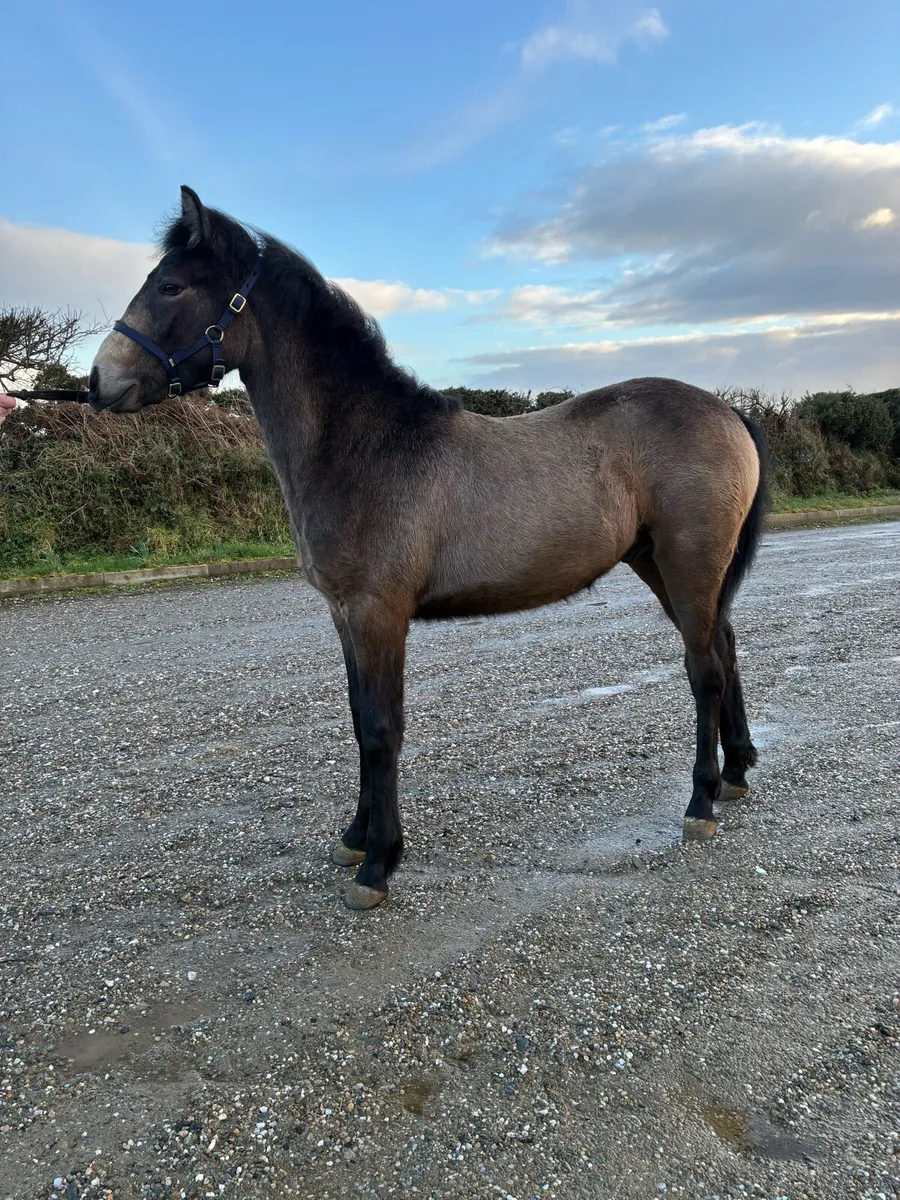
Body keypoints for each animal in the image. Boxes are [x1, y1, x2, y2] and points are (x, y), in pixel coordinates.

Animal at [88, 186, 769, 911]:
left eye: (171, 285)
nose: (99, 382)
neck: (365, 445)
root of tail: (728, 412)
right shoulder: (346, 615)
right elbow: (359, 721)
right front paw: (355, 838)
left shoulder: (378, 613)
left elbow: (383, 730)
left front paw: (377, 866)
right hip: (664, 567)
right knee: (724, 647)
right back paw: (736, 772)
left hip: (687, 564)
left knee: (704, 671)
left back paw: (701, 802)